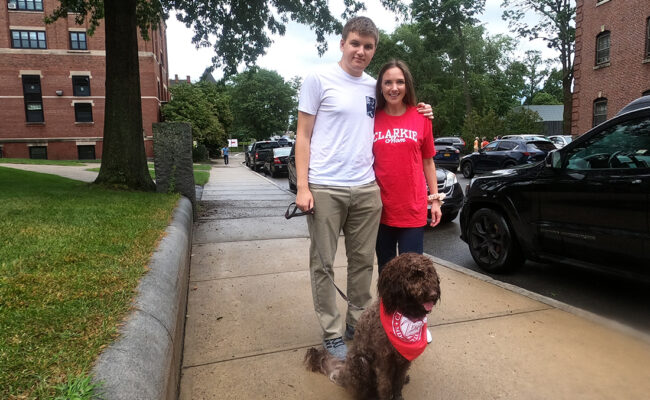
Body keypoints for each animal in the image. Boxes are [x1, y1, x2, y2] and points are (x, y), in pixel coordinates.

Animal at [306, 253, 440, 400]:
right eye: (413, 275)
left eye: (430, 273)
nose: (434, 294)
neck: (404, 312)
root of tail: (343, 373)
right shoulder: (384, 362)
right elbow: (385, 387)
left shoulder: (403, 361)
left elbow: (398, 383)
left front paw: (398, 395)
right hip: (361, 364)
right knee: (363, 390)